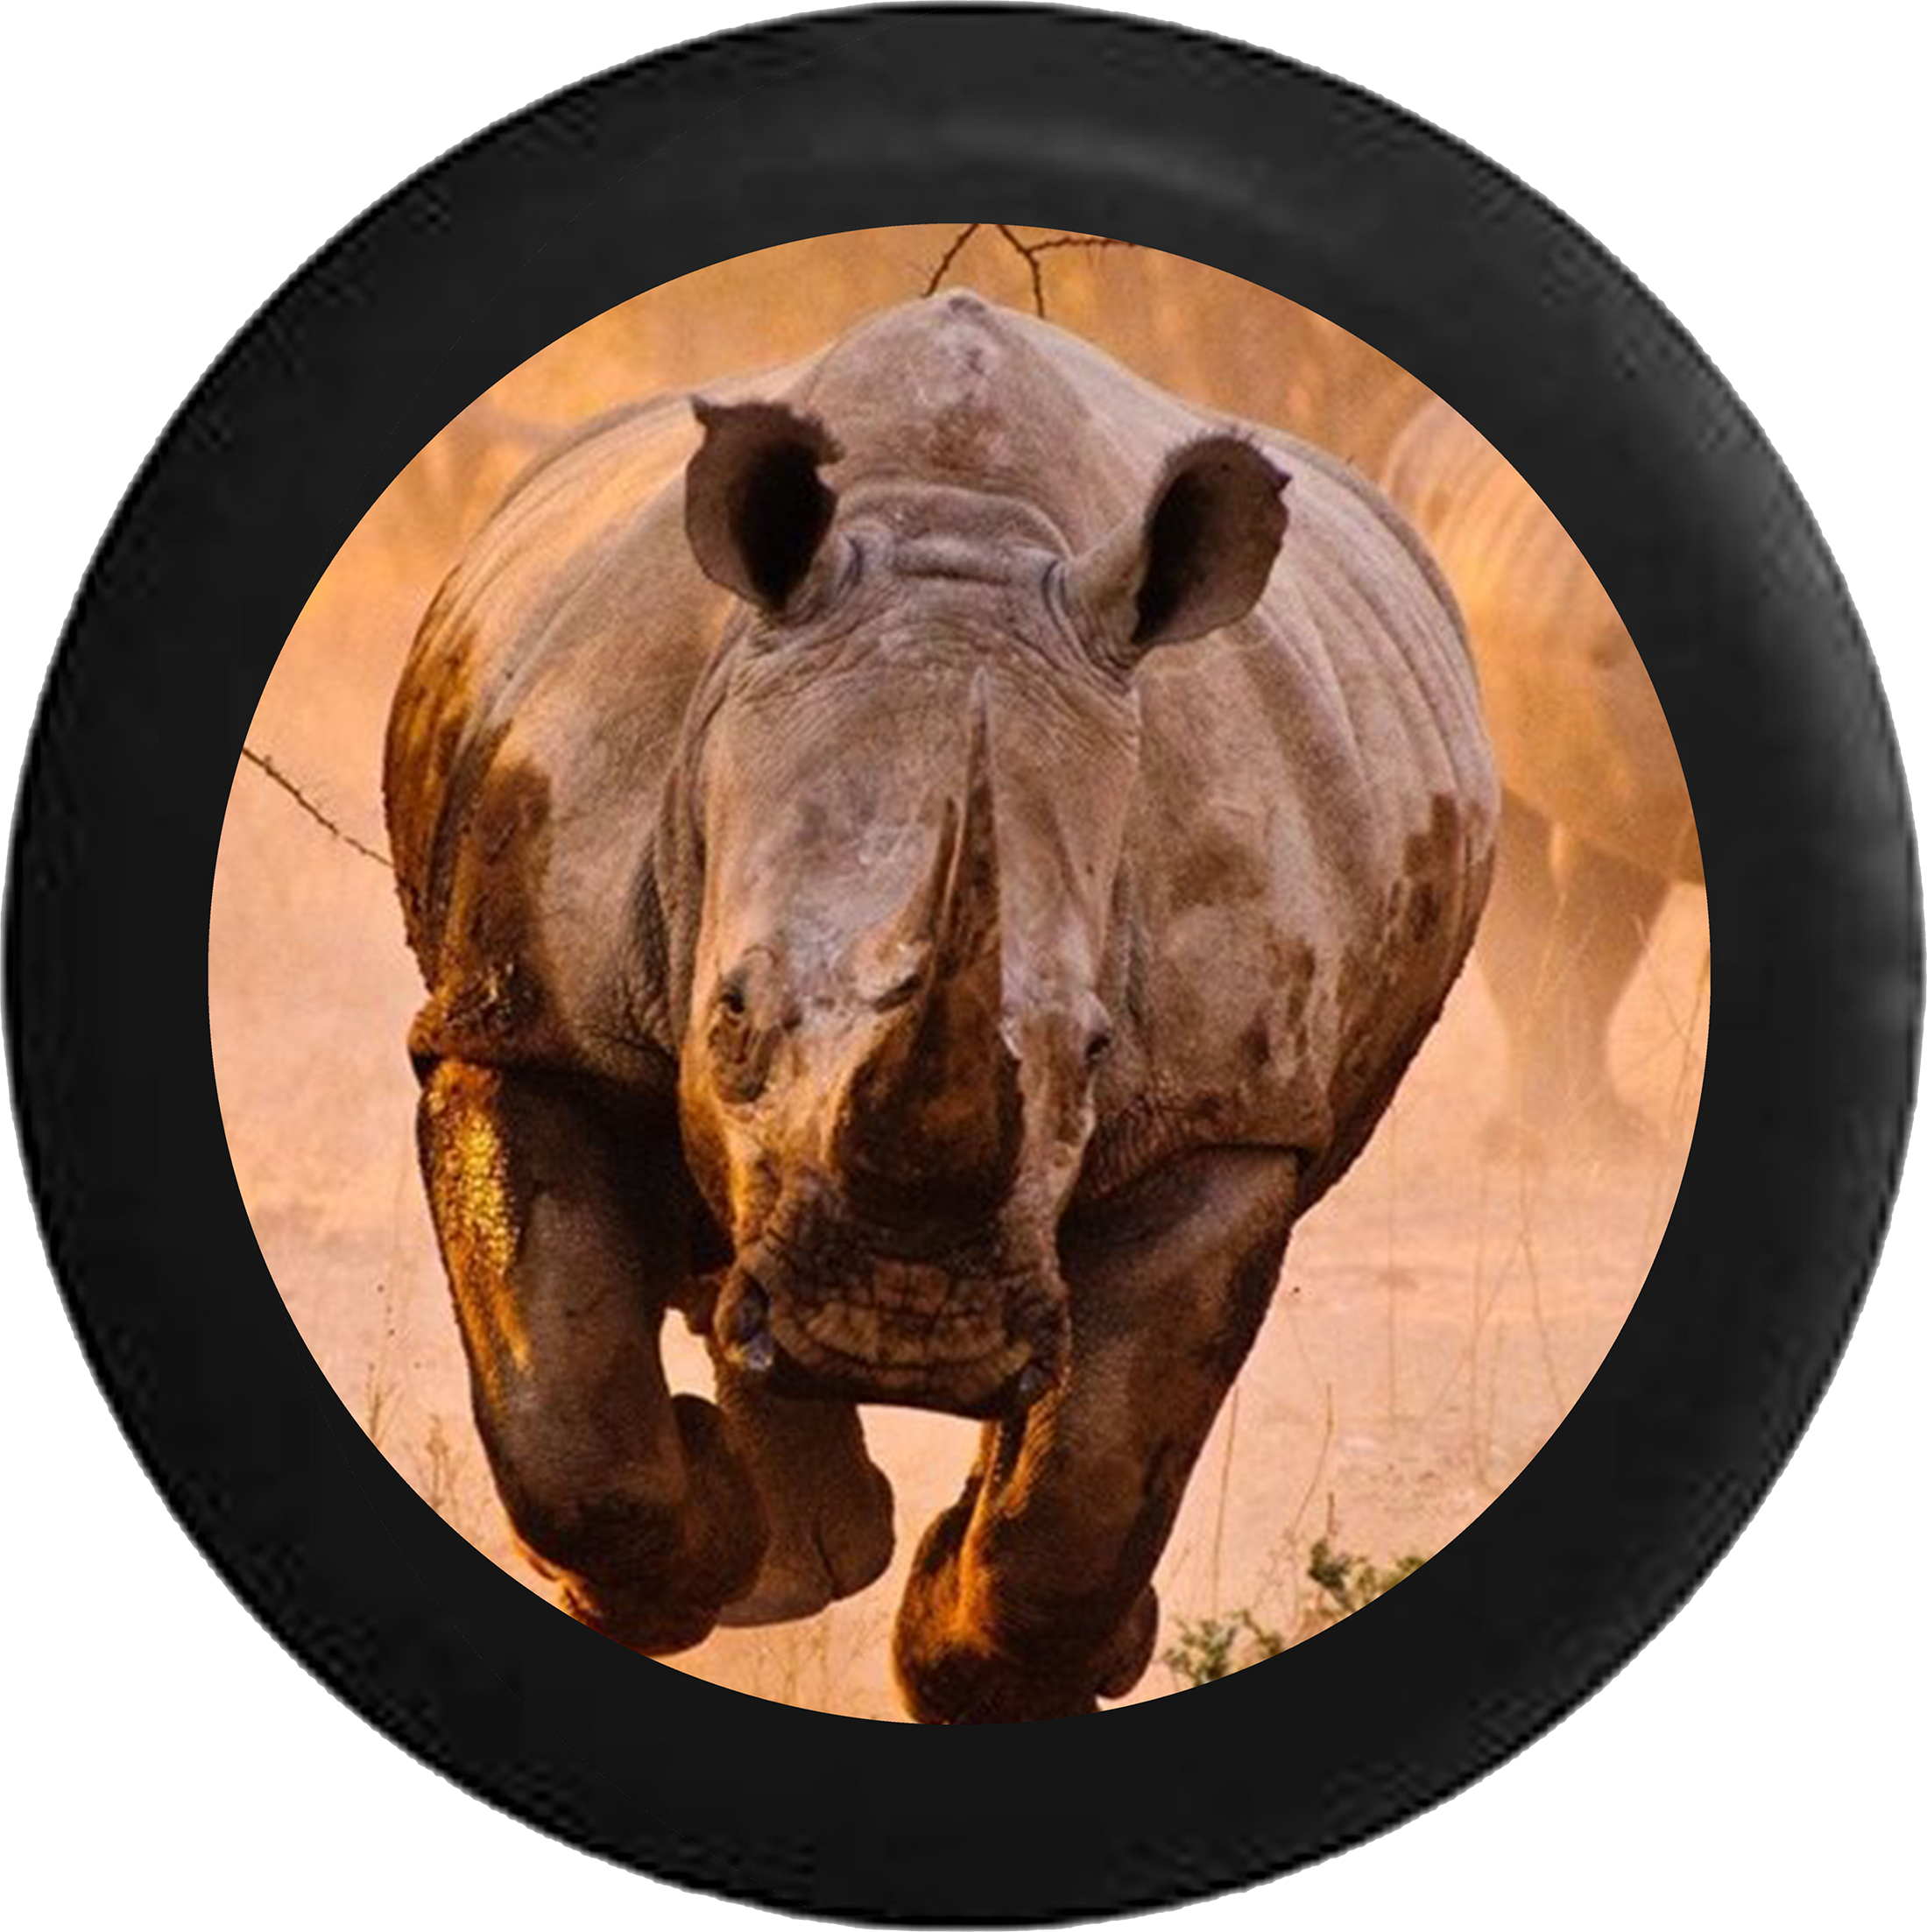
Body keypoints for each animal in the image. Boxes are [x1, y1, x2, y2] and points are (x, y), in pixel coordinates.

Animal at [384, 290, 1496, 1722]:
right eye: (728, 1013)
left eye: (1095, 1048)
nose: (900, 1329)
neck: (955, 532)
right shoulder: (524, 1013)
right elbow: (570, 1420)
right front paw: (671, 1577)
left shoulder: (1227, 1109)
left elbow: (1090, 1483)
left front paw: (979, 1668)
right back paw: (794, 1560)